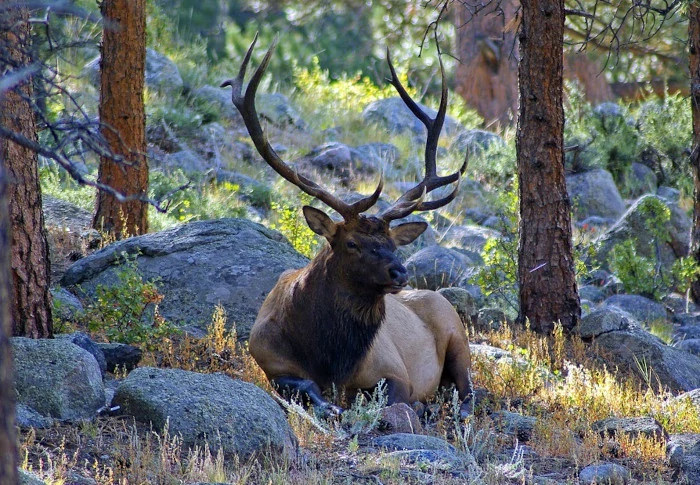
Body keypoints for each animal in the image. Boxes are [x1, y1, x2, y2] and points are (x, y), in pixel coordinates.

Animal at [223, 34, 476, 414]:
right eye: (352, 243)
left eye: (393, 244)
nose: (400, 272)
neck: (330, 360)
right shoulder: (269, 362)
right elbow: (303, 386)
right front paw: (329, 405)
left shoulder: (394, 371)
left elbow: (391, 400)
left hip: (457, 334)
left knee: (471, 390)